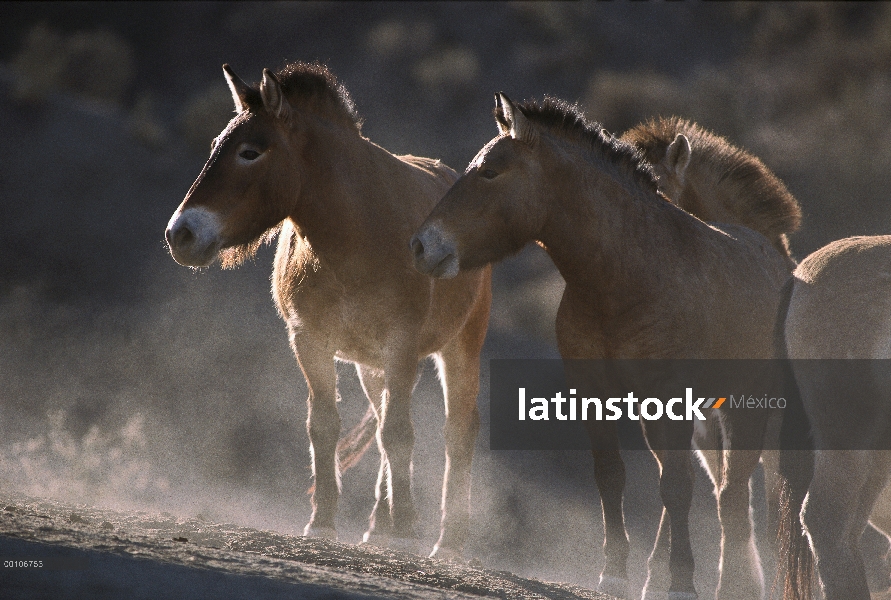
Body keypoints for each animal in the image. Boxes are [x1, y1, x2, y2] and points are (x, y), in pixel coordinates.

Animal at [164, 62, 492, 556]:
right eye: (215, 146)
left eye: (249, 152)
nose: (179, 234)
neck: (355, 235)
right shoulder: (310, 341)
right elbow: (325, 427)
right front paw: (323, 522)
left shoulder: (401, 344)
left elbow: (401, 435)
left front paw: (406, 531)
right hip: (371, 366)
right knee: (383, 428)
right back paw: (380, 527)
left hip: (459, 347)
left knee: (457, 432)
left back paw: (448, 541)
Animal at [412, 95, 788, 600]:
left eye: (490, 171)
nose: (422, 245)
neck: (626, 279)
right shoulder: (595, 391)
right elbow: (611, 475)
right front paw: (615, 573)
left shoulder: (670, 397)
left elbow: (677, 487)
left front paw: (680, 582)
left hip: (745, 407)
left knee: (732, 494)